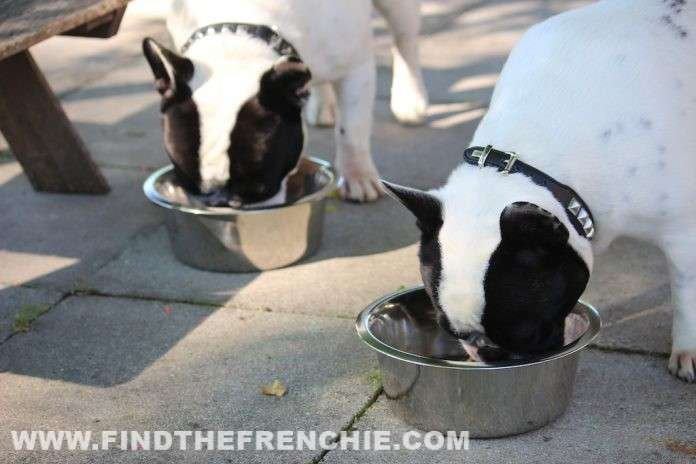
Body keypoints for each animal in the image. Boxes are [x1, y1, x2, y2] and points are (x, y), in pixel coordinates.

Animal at [142, 0, 426, 207]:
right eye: (187, 181)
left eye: (259, 187)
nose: (219, 201)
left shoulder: (355, 67)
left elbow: (351, 131)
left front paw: (358, 176)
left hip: (398, 10)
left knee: (405, 40)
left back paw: (411, 101)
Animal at [386, 0, 696, 382]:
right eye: (451, 332)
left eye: (529, 334)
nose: (490, 354)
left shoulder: (682, 234)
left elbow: (686, 294)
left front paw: (688, 348)